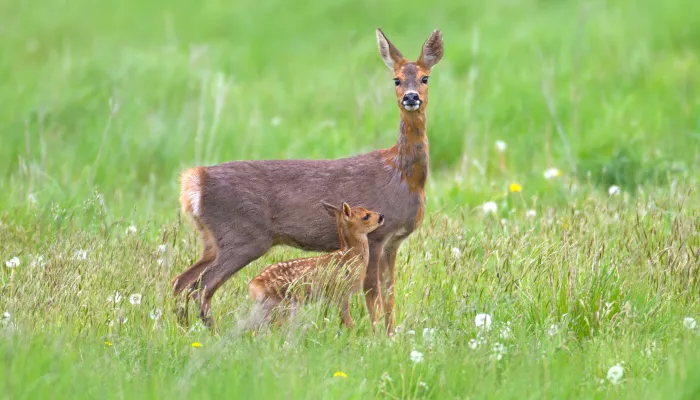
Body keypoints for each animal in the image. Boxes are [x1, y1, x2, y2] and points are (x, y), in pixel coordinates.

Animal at [249, 202, 386, 330]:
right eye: (366, 216)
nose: (382, 216)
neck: (350, 257)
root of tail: (254, 284)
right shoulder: (340, 291)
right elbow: (347, 320)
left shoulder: (328, 297)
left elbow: (327, 318)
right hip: (282, 302)